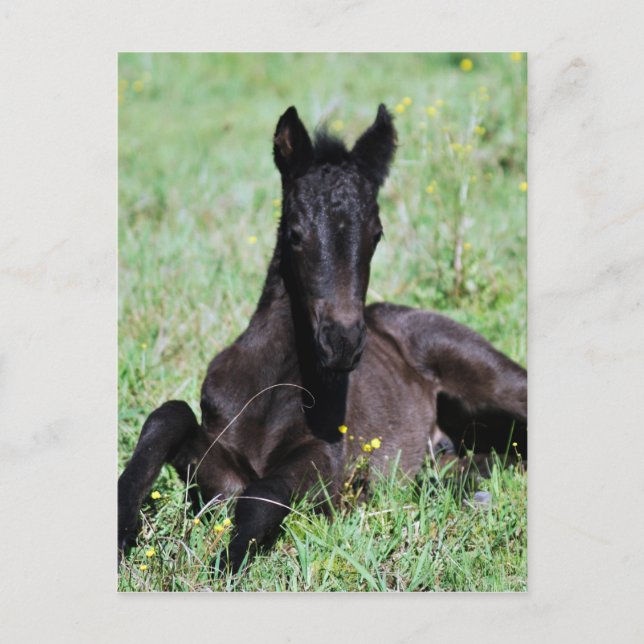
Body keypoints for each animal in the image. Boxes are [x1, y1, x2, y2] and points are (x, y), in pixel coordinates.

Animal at [118, 104, 527, 573]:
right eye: (295, 233)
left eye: (376, 234)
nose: (342, 344)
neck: (271, 385)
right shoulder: (217, 476)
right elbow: (170, 415)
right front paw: (122, 527)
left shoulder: (328, 467)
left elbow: (265, 493)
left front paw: (226, 564)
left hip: (490, 378)